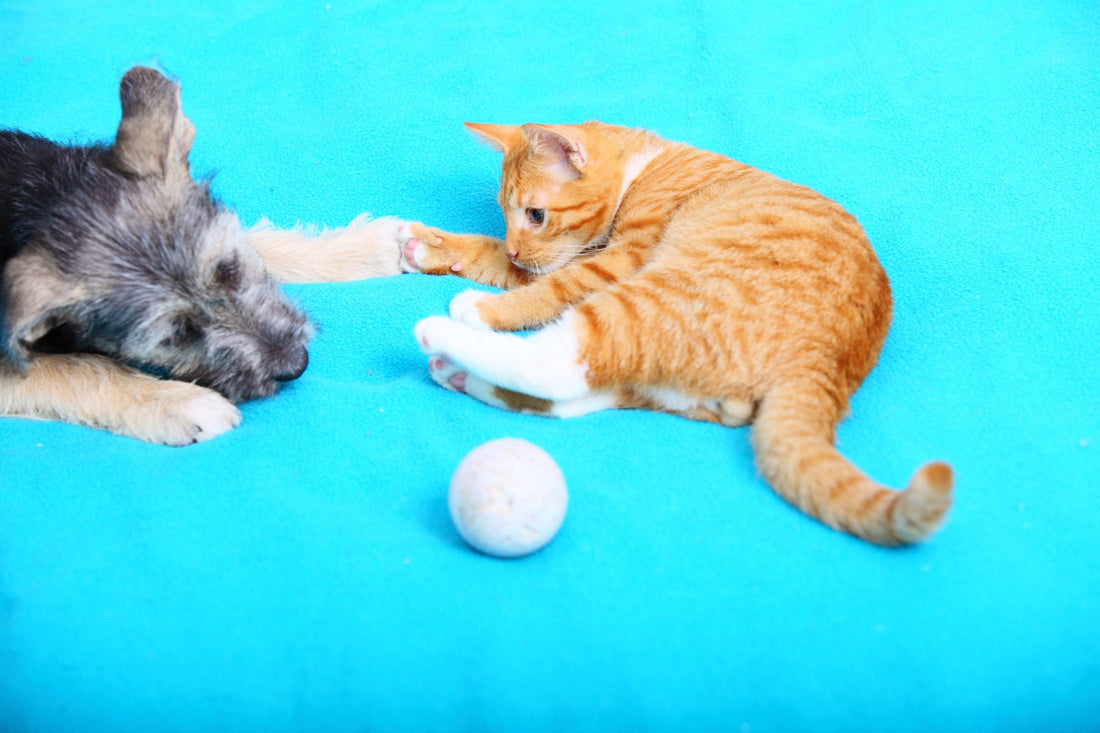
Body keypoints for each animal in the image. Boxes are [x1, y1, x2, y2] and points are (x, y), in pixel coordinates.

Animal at [0, 67, 409, 444]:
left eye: (233, 270)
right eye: (177, 336)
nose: (297, 363)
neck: (42, 201)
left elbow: (262, 241)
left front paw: (362, 249)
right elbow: (78, 367)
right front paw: (174, 399)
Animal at [404, 119, 954, 541]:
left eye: (536, 214)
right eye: (505, 214)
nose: (519, 248)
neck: (645, 166)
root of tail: (828, 362)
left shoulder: (617, 262)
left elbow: (550, 286)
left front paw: (487, 304)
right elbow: (500, 258)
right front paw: (432, 247)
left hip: (646, 300)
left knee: (558, 364)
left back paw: (444, 334)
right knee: (590, 387)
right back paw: (459, 376)